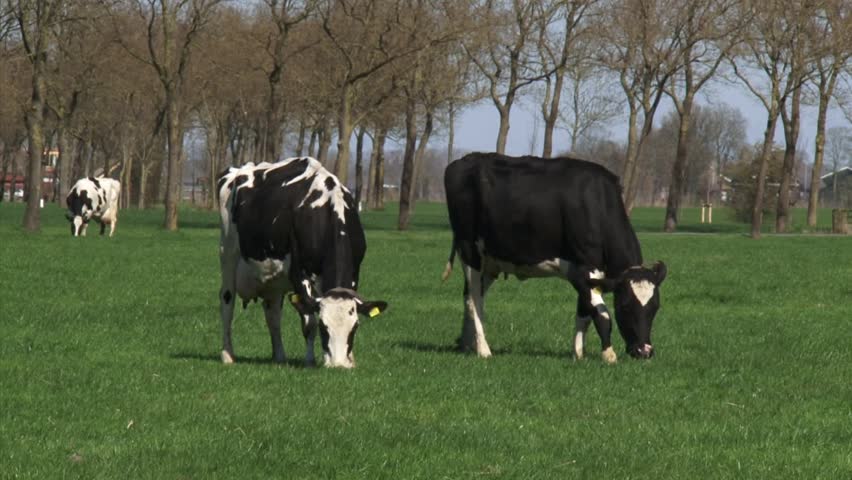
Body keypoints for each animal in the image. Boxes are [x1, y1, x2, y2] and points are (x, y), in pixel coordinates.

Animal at [217, 157, 388, 369]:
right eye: (324, 327)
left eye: (355, 326)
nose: (338, 365)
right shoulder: (300, 273)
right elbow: (309, 323)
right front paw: (310, 360)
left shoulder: (355, 270)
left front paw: (351, 359)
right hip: (228, 254)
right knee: (227, 303)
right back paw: (227, 355)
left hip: (273, 279)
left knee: (273, 314)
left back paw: (279, 356)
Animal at [442, 152, 666, 364]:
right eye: (625, 306)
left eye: (655, 307)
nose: (644, 351)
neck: (596, 205)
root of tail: (463, 161)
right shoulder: (584, 269)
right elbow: (602, 315)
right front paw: (608, 355)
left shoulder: (588, 275)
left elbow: (584, 314)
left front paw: (578, 354)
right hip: (470, 252)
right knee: (475, 300)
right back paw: (483, 350)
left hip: (490, 262)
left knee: (469, 299)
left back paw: (467, 344)